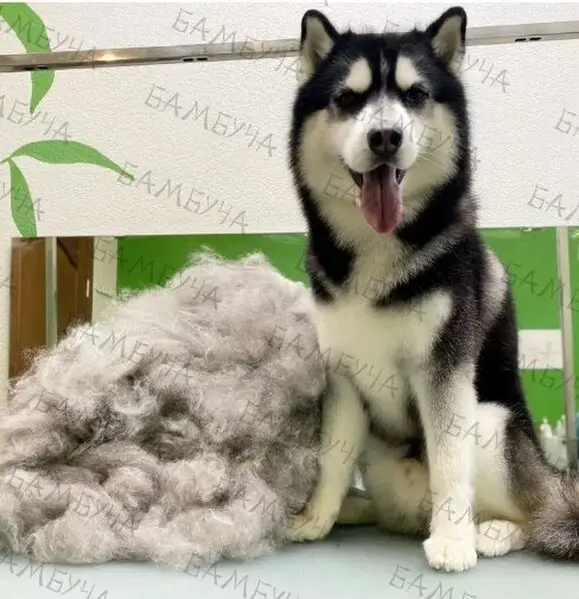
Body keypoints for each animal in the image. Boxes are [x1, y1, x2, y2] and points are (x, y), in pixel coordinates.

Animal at [286, 6, 579, 572]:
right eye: (348, 99)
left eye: (416, 94)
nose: (384, 137)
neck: (378, 248)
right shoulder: (343, 376)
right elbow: (332, 459)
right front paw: (315, 517)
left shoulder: (443, 371)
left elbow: (449, 464)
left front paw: (452, 541)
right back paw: (357, 510)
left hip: (493, 425)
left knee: (531, 514)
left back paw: (490, 532)